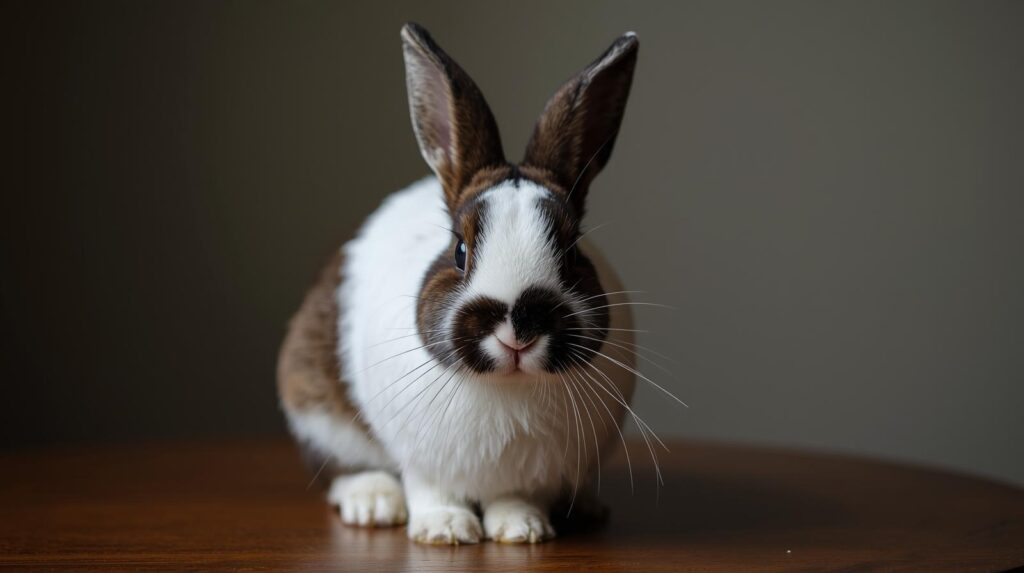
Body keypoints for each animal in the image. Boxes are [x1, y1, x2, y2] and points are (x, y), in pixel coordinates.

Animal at [277, 22, 640, 545]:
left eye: (572, 253)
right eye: (460, 251)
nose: (518, 326)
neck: (508, 388)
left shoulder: (532, 475)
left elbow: (517, 498)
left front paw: (523, 530)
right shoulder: (423, 462)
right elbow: (432, 491)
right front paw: (446, 530)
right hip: (316, 408)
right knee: (341, 468)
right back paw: (374, 504)